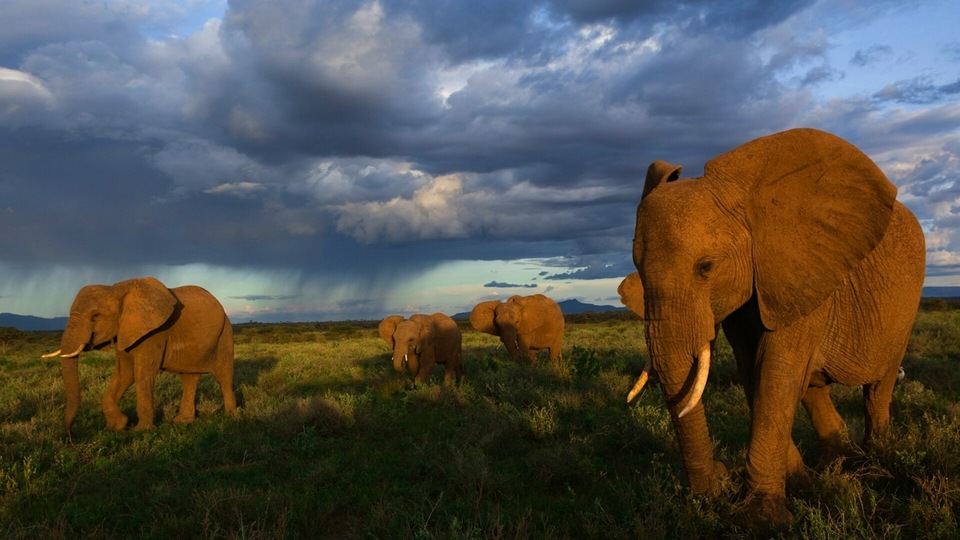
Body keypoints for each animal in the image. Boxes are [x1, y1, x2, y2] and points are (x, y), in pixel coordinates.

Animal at [43, 276, 240, 436]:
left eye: (95, 316)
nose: (70, 435)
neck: (116, 289)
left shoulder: (154, 333)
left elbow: (143, 373)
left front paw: (141, 430)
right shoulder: (123, 330)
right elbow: (125, 373)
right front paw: (118, 426)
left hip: (225, 333)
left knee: (224, 375)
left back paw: (231, 416)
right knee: (189, 378)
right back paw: (182, 421)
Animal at [628, 129, 928, 528]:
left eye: (706, 267)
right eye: (637, 270)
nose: (719, 481)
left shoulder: (802, 271)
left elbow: (775, 372)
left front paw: (763, 519)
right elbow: (754, 373)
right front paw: (795, 489)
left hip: (904, 311)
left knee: (878, 388)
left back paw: (877, 465)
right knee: (813, 388)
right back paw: (835, 467)